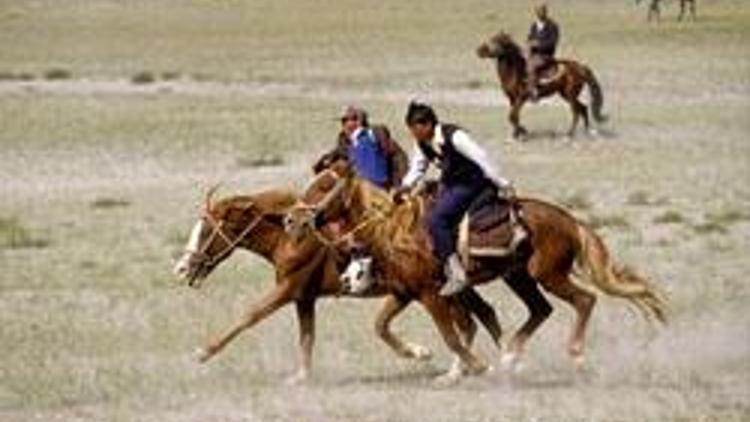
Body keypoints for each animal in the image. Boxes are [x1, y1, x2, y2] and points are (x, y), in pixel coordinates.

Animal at [174, 186, 506, 384]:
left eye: (207, 231)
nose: (181, 268)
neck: (288, 235)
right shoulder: (304, 297)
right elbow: (307, 335)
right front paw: (302, 376)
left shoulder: (288, 290)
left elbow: (249, 316)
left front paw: (202, 352)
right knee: (476, 319)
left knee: (469, 322)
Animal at [286, 162, 668, 380]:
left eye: (323, 187)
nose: (291, 219)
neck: (394, 230)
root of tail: (571, 221)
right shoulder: (405, 292)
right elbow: (381, 326)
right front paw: (422, 355)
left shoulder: (431, 293)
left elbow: (453, 334)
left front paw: (475, 366)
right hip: (519, 276)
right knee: (541, 309)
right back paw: (511, 356)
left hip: (548, 274)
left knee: (584, 300)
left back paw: (572, 355)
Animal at [478, 31, 608, 140]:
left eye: (496, 40)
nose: (479, 50)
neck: (515, 71)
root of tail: (580, 67)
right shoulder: (512, 98)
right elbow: (514, 116)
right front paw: (516, 134)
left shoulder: (521, 98)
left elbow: (512, 116)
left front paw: (523, 132)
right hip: (565, 94)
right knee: (583, 108)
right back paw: (587, 131)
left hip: (570, 94)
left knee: (576, 112)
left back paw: (569, 135)